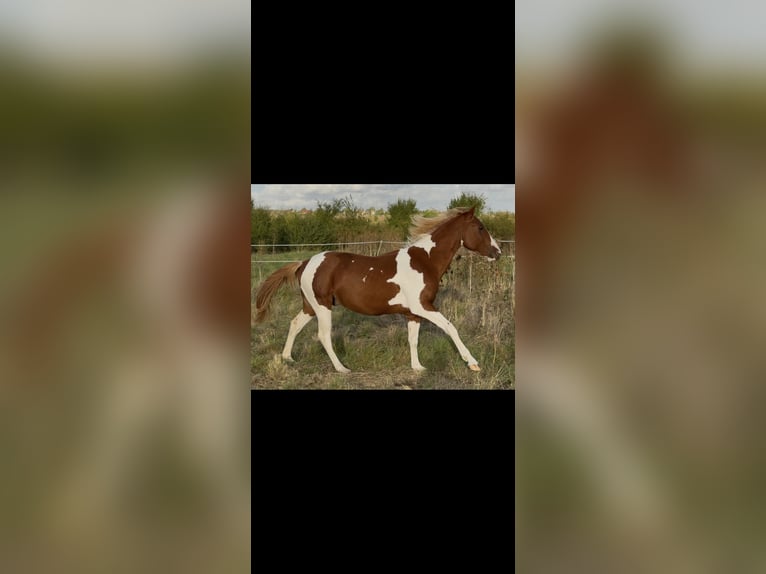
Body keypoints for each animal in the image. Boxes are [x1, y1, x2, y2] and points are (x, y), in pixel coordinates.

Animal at [253, 206, 502, 373]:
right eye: (480, 228)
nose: (497, 253)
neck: (425, 261)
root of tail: (305, 263)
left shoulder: (413, 313)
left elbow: (413, 339)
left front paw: (418, 367)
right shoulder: (423, 307)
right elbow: (451, 328)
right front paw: (473, 363)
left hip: (311, 306)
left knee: (295, 324)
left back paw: (287, 358)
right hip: (322, 307)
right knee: (323, 336)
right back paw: (342, 368)